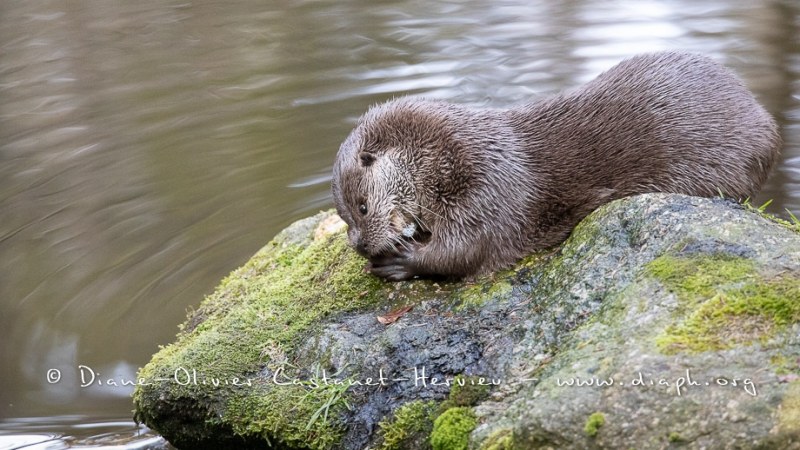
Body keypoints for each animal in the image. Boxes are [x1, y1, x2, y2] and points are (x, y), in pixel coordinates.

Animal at [332, 51, 780, 280]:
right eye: (344, 218)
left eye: (363, 208)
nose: (360, 245)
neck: (447, 157)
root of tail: (765, 121)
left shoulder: (488, 189)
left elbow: (466, 251)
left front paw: (400, 260)